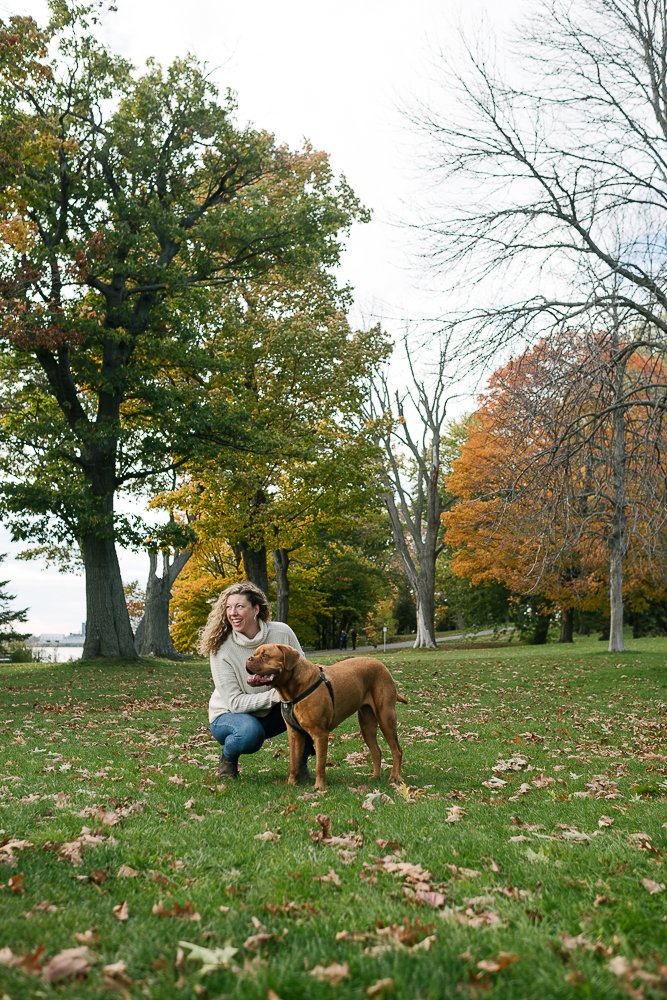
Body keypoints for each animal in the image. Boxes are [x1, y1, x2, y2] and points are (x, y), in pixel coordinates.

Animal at [247, 644, 408, 792]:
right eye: (254, 654)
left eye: (265, 656)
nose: (248, 659)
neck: (292, 691)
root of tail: (382, 665)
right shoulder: (294, 734)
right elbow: (293, 761)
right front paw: (291, 783)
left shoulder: (320, 734)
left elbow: (320, 763)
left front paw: (320, 787)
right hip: (366, 725)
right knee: (376, 751)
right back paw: (375, 777)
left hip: (386, 717)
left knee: (397, 750)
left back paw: (395, 777)